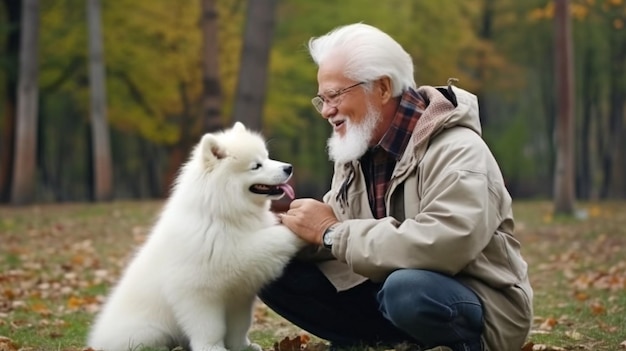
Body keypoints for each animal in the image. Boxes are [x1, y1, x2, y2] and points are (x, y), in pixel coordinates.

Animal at [86, 123, 304, 351]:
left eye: (267, 157)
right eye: (256, 166)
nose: (288, 168)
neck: (220, 215)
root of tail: (96, 341)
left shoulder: (239, 292)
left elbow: (239, 326)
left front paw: (242, 347)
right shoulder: (198, 292)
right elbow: (210, 328)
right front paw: (213, 348)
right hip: (150, 332)